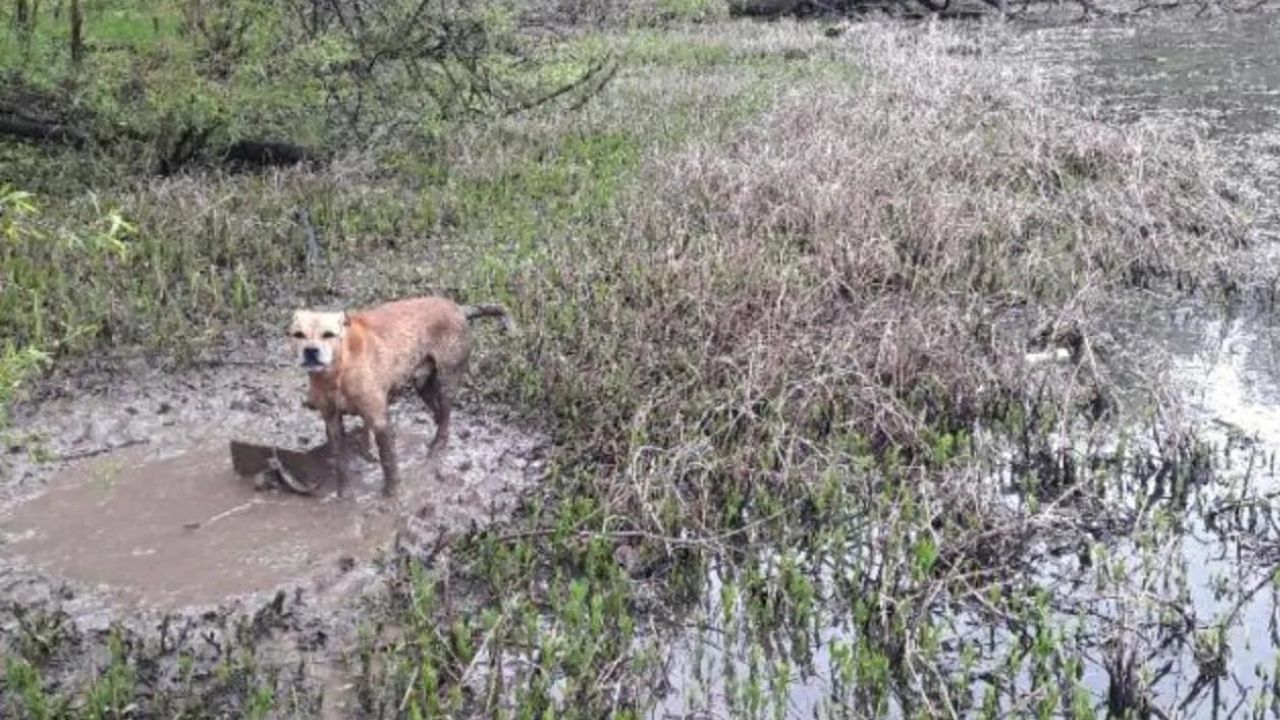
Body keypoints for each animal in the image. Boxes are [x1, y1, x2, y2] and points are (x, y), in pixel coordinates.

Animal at [288, 295, 512, 491]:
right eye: (298, 335)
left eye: (328, 334)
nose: (310, 351)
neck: (337, 371)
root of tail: (457, 307)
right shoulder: (332, 420)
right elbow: (340, 462)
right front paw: (344, 492)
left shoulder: (380, 420)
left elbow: (389, 463)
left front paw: (391, 495)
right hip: (423, 385)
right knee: (439, 413)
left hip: (447, 380)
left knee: (446, 417)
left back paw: (437, 445)